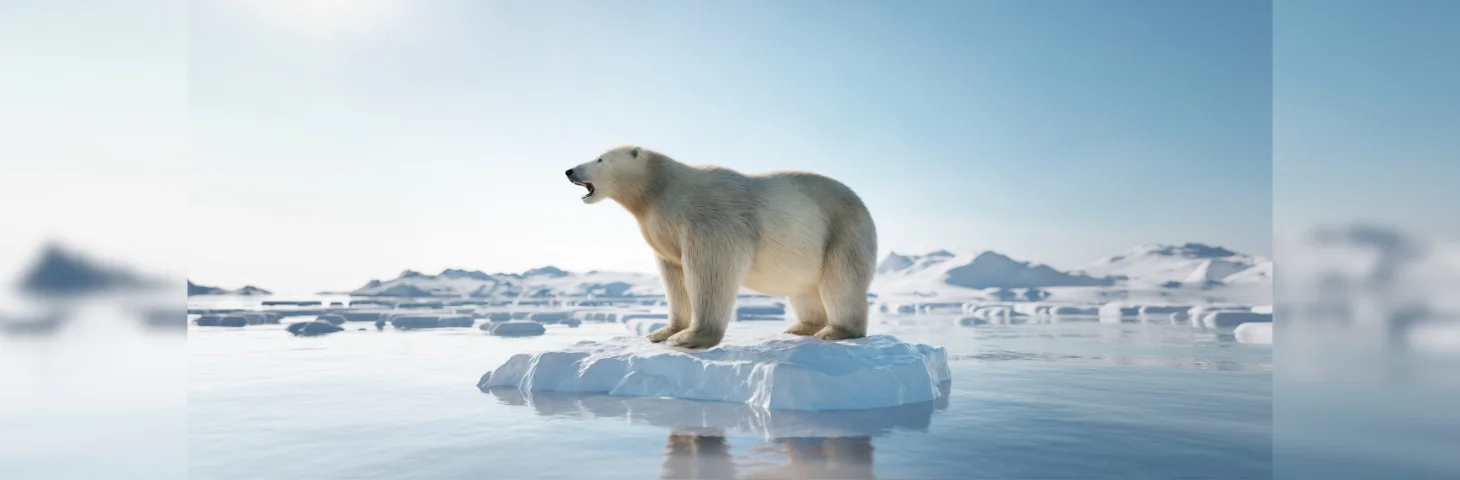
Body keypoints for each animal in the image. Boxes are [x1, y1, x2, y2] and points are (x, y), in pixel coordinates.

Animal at [563, 145, 870, 347]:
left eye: (600, 158)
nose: (569, 170)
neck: (659, 189)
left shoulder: (709, 217)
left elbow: (711, 268)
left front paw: (690, 337)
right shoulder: (663, 230)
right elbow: (674, 277)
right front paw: (662, 332)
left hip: (842, 231)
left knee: (841, 281)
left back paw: (835, 331)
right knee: (803, 288)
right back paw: (801, 327)